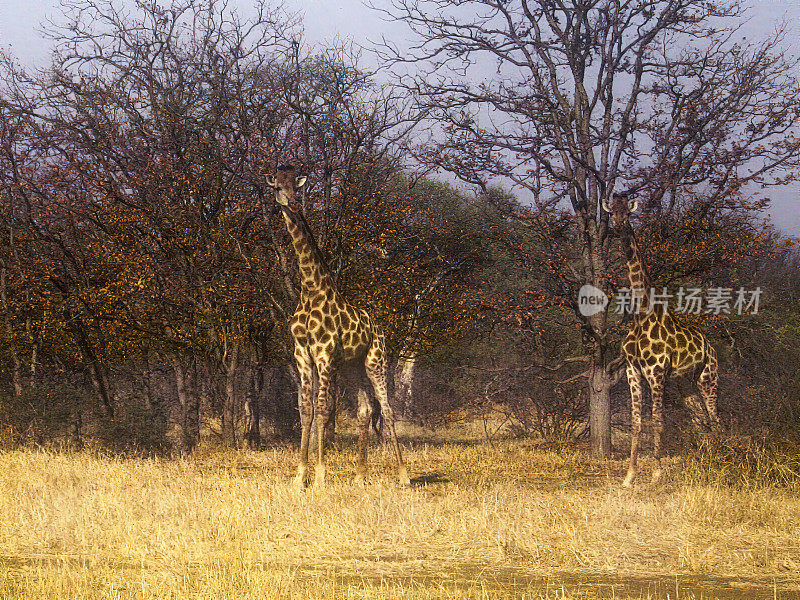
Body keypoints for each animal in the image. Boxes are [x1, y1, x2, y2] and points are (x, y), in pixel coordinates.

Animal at [268, 163, 410, 488]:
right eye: (278, 187)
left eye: (297, 187)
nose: (293, 204)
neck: (310, 289)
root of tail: (379, 327)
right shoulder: (302, 353)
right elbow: (306, 411)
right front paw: (300, 477)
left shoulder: (324, 353)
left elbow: (323, 410)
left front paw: (320, 476)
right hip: (351, 367)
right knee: (365, 410)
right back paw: (359, 475)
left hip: (375, 361)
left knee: (387, 409)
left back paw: (403, 475)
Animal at [604, 192, 720, 488]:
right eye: (612, 212)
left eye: (628, 212)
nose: (618, 227)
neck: (641, 314)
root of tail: (711, 346)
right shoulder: (633, 371)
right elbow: (636, 422)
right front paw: (629, 476)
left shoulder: (656, 372)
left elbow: (657, 420)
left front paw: (656, 473)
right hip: (686, 385)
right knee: (701, 420)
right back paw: (707, 460)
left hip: (709, 377)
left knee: (716, 417)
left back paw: (720, 459)